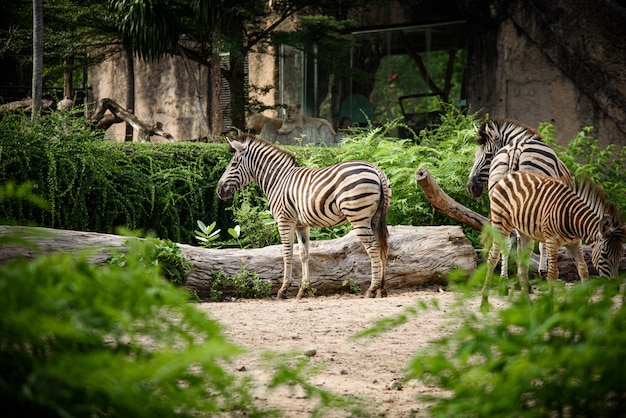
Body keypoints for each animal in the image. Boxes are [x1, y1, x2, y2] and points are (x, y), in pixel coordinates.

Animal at [216, 133, 390, 298]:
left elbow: (287, 253)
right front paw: (303, 289)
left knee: (373, 247)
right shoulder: (302, 224)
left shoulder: (284, 220)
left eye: (233, 164)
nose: (219, 190)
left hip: (358, 216)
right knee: (382, 246)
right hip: (375, 218)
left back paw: (372, 289)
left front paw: (284, 289)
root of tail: (376, 169)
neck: (278, 180)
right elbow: (304, 254)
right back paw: (381, 289)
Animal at [464, 119, 572, 280]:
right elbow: (541, 242)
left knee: (504, 241)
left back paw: (505, 277)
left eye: (488, 155)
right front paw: (543, 271)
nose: (470, 187)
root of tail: (516, 148)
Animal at [482, 171, 624, 306]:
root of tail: (511, 174)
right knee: (493, 257)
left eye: (621, 255)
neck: (572, 219)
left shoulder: (574, 243)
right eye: (604, 255)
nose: (615, 290)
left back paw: (526, 303)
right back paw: (484, 301)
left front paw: (589, 306)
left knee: (522, 265)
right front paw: (550, 306)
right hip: (500, 223)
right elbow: (553, 274)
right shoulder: (552, 241)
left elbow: (583, 270)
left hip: (525, 233)